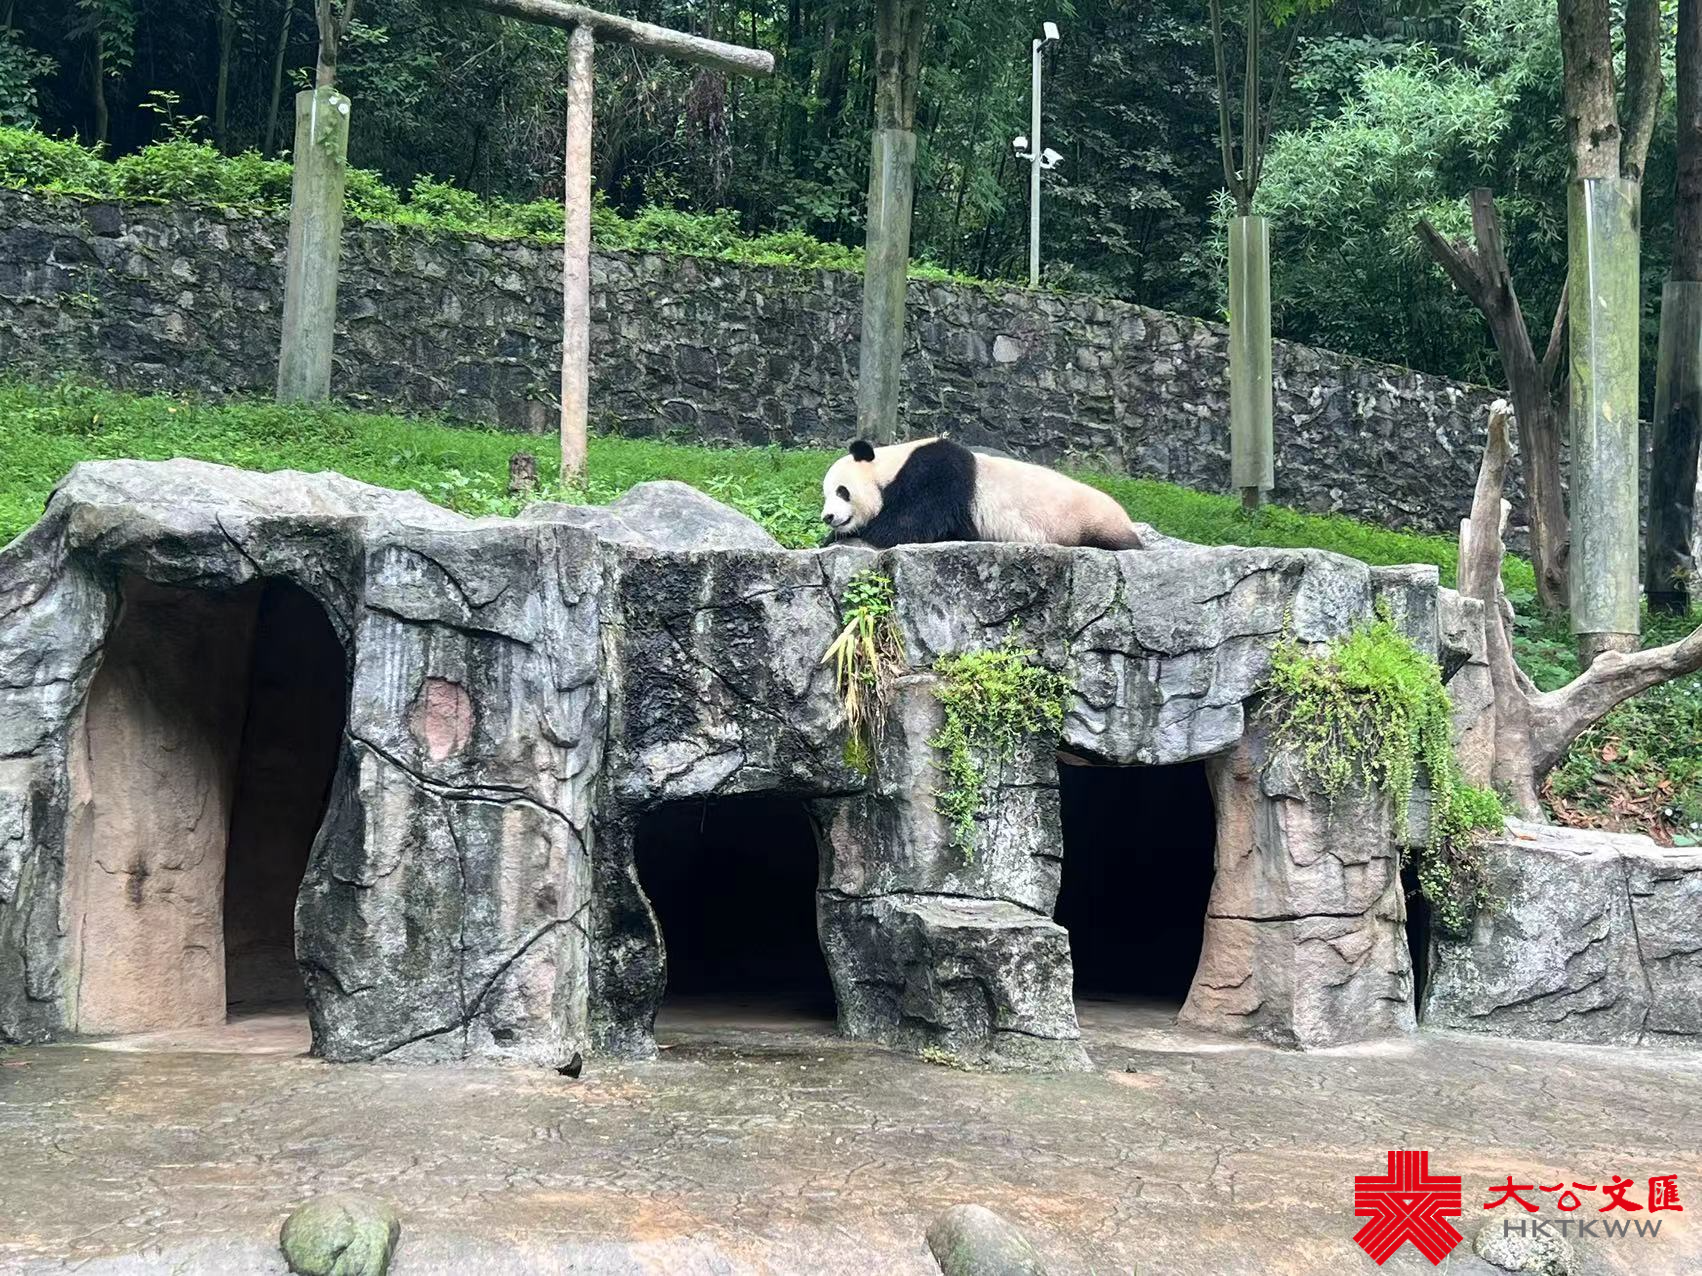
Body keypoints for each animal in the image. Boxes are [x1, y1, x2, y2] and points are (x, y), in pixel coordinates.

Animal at [819, 436, 1145, 551]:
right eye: (825, 495)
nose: (828, 517)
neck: (890, 466)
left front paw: (851, 534)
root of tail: (1126, 517)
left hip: (1089, 520)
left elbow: (908, 526)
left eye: (842, 491)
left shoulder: (937, 476)